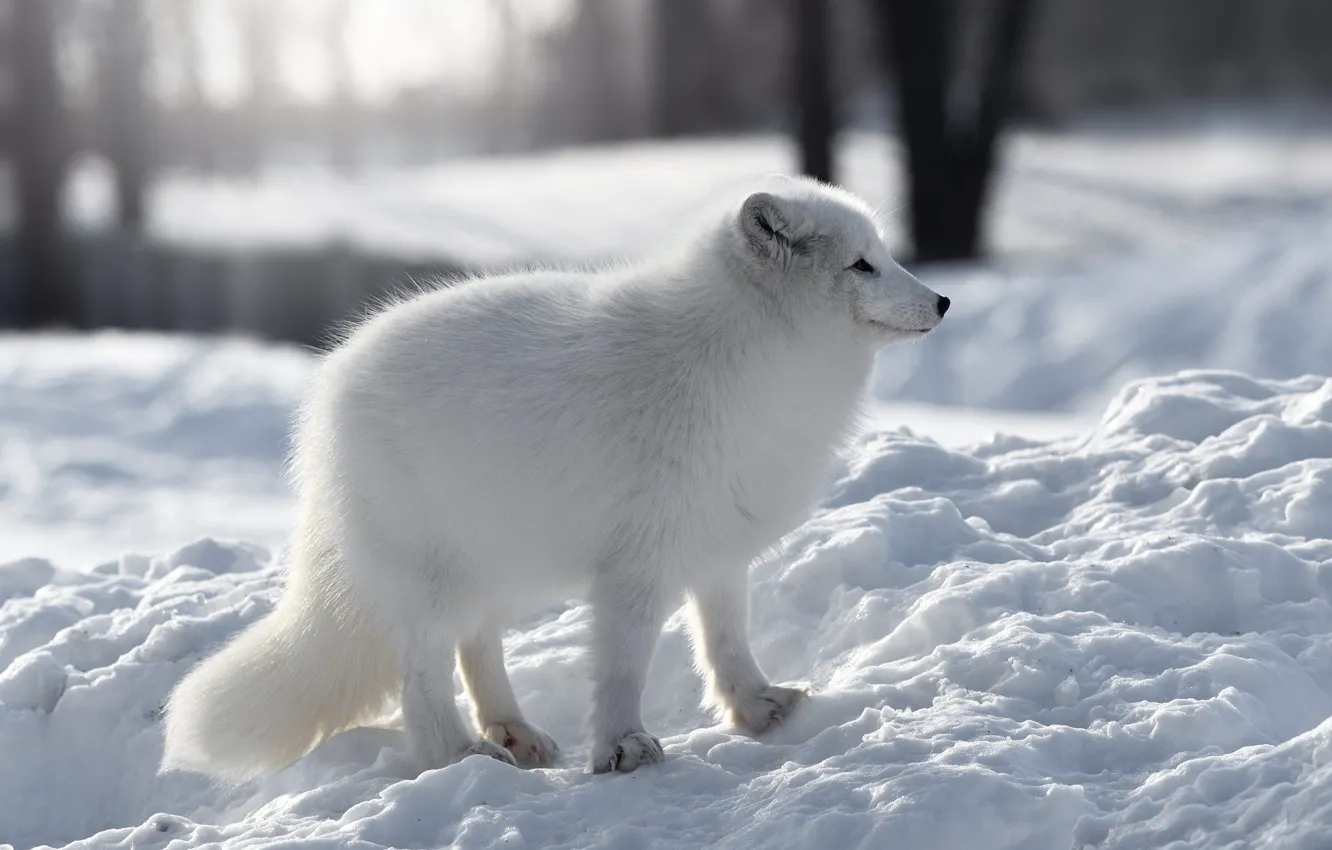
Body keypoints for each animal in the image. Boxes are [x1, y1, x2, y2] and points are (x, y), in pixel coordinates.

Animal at [161, 175, 953, 783]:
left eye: (886, 255)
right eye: (861, 265)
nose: (944, 302)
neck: (750, 359)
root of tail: (329, 390)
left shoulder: (719, 549)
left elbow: (727, 643)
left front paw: (758, 709)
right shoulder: (637, 566)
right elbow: (623, 666)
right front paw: (623, 750)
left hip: (502, 568)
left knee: (476, 645)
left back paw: (513, 731)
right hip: (434, 578)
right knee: (423, 672)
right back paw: (457, 755)